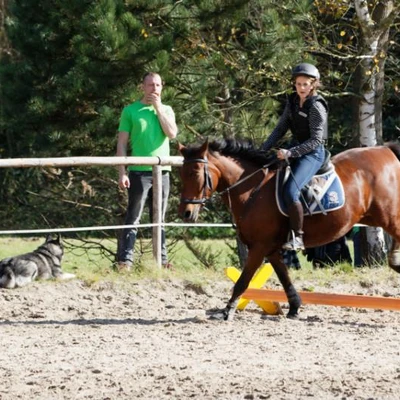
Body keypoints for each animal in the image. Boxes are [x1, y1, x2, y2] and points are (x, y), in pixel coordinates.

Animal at [179, 139, 400, 320]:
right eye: (182, 175)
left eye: (195, 173)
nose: (186, 213)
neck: (252, 190)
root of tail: (385, 150)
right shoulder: (270, 248)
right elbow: (284, 276)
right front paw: (294, 307)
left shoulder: (259, 247)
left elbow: (243, 280)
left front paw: (227, 311)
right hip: (376, 217)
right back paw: (395, 261)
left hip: (387, 216)